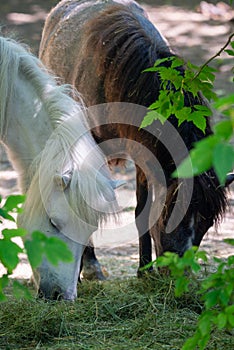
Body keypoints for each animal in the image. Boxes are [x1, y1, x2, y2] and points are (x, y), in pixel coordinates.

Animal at [39, 0, 233, 278]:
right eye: (172, 213)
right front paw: (90, 267)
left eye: (205, 224)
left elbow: (142, 210)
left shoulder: (145, 155)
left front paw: (144, 270)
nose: (179, 273)